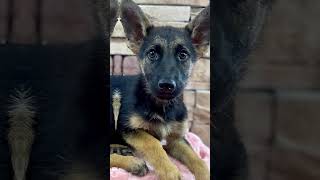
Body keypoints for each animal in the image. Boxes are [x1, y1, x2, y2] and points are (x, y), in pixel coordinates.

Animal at [110, 0, 210, 179]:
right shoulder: (129, 129)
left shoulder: (176, 139)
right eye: (152, 54)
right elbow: (154, 144)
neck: (163, 106)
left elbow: (197, 159)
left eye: (183, 55)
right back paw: (133, 163)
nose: (167, 85)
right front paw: (171, 172)